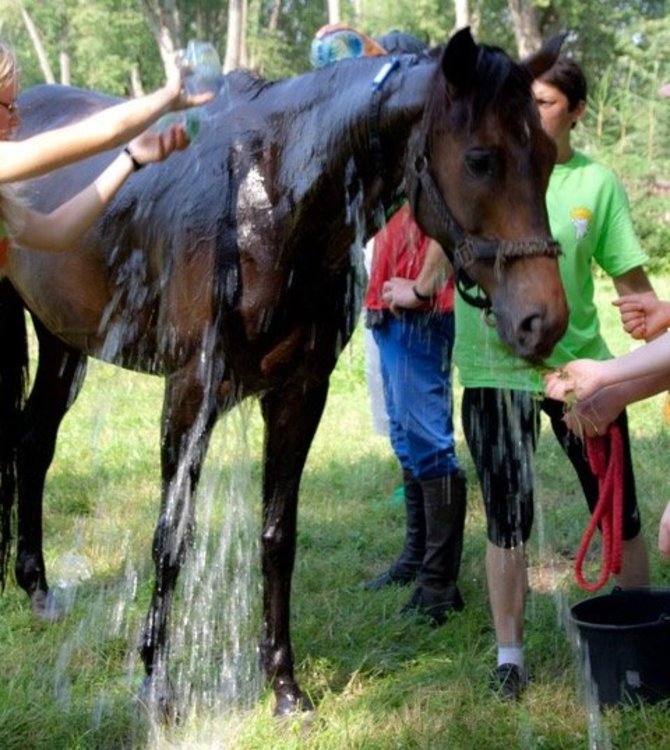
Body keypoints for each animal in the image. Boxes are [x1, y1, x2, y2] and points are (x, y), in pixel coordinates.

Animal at [0, 29, 568, 720]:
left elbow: (277, 537)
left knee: (34, 443)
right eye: (481, 159)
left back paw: (38, 589)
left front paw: (284, 685)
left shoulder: (299, 393)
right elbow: (171, 538)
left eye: (547, 154)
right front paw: (155, 685)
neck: (270, 202)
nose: (543, 319)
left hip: (61, 341)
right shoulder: (190, 394)